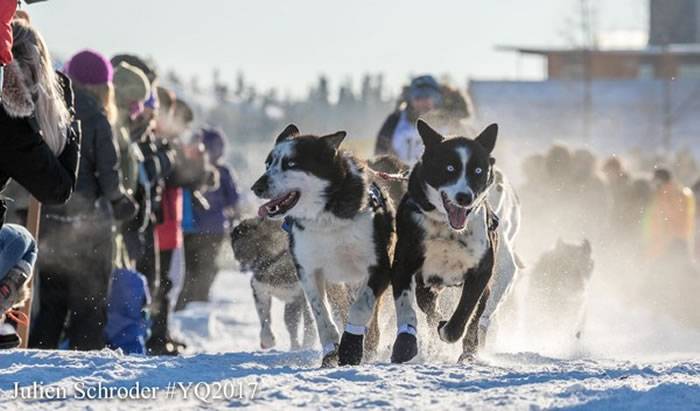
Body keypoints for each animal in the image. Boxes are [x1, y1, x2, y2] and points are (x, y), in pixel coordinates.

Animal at [250, 124, 394, 366]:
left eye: (291, 163)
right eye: (268, 164)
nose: (256, 187)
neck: (327, 218)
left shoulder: (380, 268)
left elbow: (360, 308)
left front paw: (351, 346)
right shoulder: (308, 270)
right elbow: (321, 315)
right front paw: (331, 350)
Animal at [388, 119, 520, 364]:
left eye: (478, 171)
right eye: (449, 168)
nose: (464, 197)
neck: (447, 228)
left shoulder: (481, 272)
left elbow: (463, 316)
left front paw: (447, 329)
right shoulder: (405, 265)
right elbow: (406, 306)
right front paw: (405, 343)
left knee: (475, 318)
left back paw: (467, 351)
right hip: (427, 286)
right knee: (428, 309)